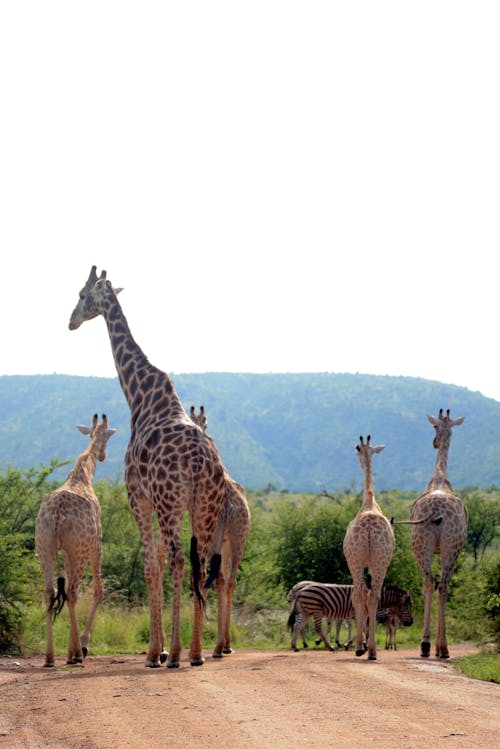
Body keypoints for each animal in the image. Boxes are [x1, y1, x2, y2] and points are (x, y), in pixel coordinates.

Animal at [36, 414, 116, 668]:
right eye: (107, 437)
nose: (103, 455)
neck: (83, 475)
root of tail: (57, 513)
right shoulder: (96, 544)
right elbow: (98, 591)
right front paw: (80, 647)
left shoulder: (65, 551)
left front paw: (71, 650)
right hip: (79, 550)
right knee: (72, 592)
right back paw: (77, 654)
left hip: (45, 548)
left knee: (49, 591)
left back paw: (50, 657)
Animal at [69, 268, 227, 668]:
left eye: (82, 294)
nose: (71, 321)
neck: (138, 396)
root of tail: (200, 461)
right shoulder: (156, 501)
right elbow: (157, 560)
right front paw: (166, 647)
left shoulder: (137, 495)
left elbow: (149, 565)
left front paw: (157, 652)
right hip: (205, 505)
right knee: (201, 563)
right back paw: (197, 653)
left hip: (173, 503)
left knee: (178, 560)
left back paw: (178, 656)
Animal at [394, 406, 468, 656]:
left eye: (435, 426)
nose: (435, 442)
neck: (439, 478)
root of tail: (436, 511)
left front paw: (432, 644)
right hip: (447, 548)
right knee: (439, 583)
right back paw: (438, 646)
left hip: (424, 546)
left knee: (432, 582)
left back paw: (431, 645)